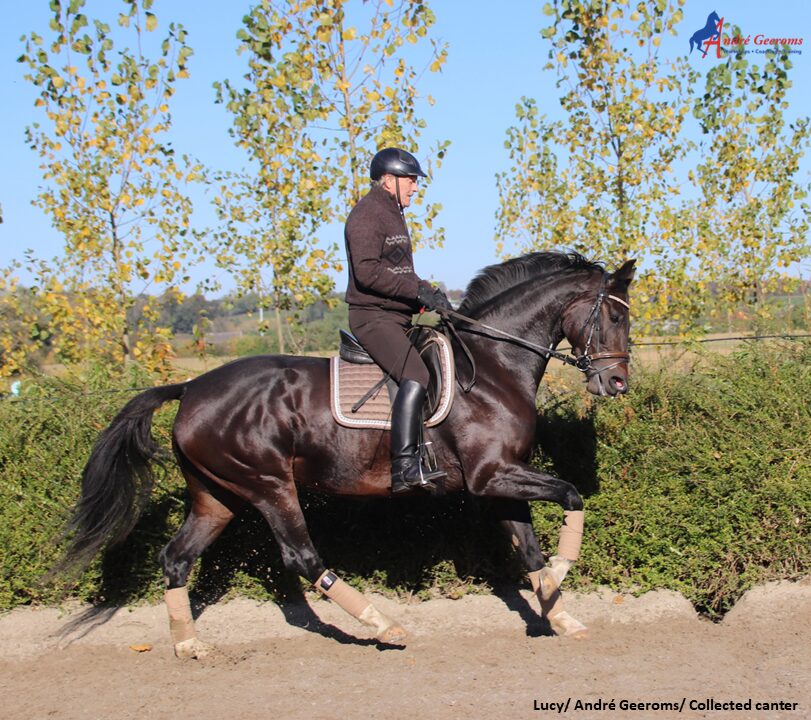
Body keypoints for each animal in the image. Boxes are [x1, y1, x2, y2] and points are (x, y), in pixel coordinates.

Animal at [60, 250, 636, 656]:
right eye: (613, 318)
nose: (617, 384)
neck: (493, 366)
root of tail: (191, 388)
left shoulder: (500, 479)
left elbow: (529, 548)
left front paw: (559, 613)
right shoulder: (492, 474)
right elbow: (572, 495)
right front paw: (560, 577)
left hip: (216, 496)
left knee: (176, 558)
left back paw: (188, 645)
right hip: (268, 485)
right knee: (302, 556)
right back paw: (384, 625)